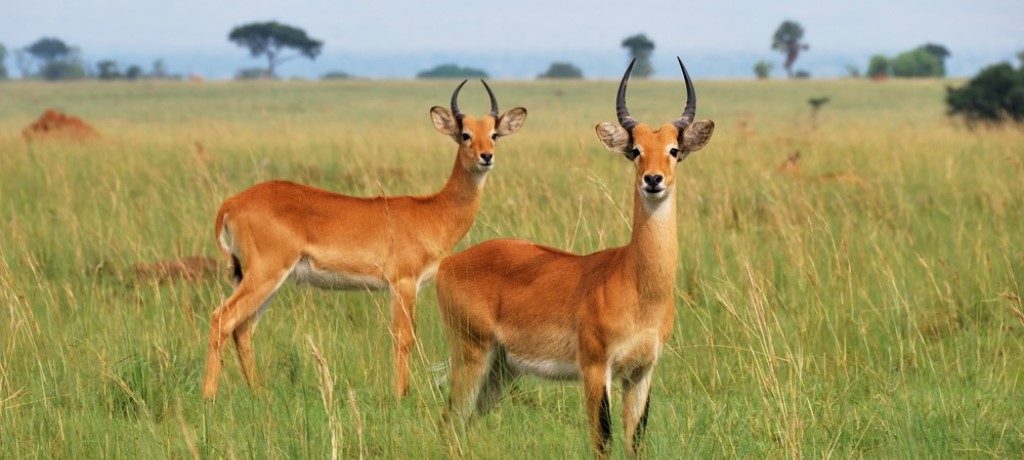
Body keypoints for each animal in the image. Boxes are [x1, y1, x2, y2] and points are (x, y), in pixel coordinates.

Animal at [204, 81, 532, 397]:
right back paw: (209, 397)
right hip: (265, 274)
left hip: (262, 280)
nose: (486, 156)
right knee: (222, 318)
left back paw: (259, 394)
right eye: (465, 134)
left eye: (493, 134)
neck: (433, 211)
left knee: (243, 329)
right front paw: (401, 395)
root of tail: (230, 204)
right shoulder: (403, 283)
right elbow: (404, 338)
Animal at [436, 59, 716, 456]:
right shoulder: (597, 368)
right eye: (635, 150)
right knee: (449, 421)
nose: (653, 179)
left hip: (501, 369)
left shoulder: (642, 372)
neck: (638, 285)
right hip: (472, 355)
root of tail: (449, 262)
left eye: (674, 149)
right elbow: (603, 440)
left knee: (462, 424)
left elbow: (636, 442)